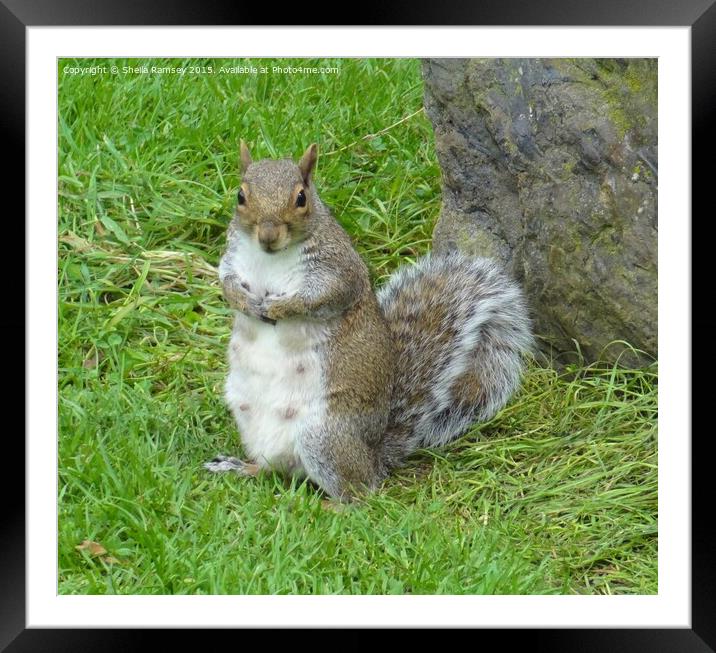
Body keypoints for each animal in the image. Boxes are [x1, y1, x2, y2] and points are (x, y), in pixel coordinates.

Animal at [204, 141, 536, 500]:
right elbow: (225, 281)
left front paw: (281, 307)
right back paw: (240, 467)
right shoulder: (233, 257)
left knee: (360, 492)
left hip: (323, 436)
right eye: (240, 195)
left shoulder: (338, 269)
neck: (270, 258)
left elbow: (321, 298)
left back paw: (330, 503)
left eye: (301, 198)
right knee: (274, 469)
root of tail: (374, 455)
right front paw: (244, 301)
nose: (268, 235)